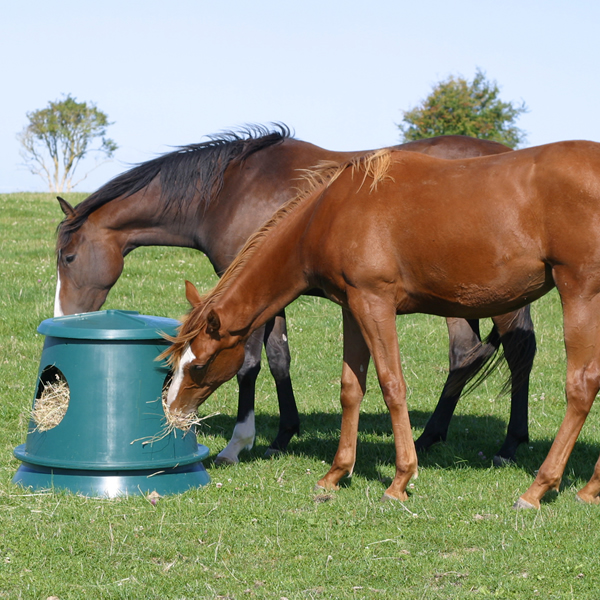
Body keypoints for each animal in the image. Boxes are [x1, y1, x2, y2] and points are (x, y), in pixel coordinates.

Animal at [55, 125, 536, 464]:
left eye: (69, 257)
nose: (62, 316)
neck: (231, 190)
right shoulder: (269, 294)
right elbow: (279, 358)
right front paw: (283, 435)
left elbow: (250, 364)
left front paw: (239, 443)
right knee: (469, 355)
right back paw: (434, 434)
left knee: (513, 352)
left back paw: (507, 444)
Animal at [164, 142, 600, 510]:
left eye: (198, 365)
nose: (173, 414)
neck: (330, 211)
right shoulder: (352, 308)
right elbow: (351, 388)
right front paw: (336, 473)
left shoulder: (375, 303)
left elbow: (392, 385)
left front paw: (400, 480)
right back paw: (588, 489)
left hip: (578, 291)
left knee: (581, 386)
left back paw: (538, 488)